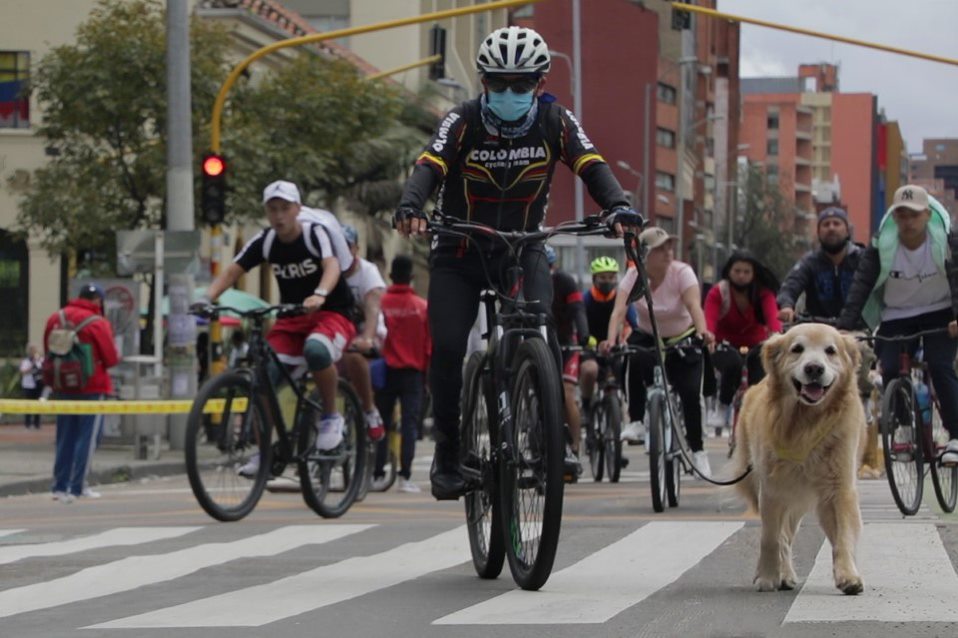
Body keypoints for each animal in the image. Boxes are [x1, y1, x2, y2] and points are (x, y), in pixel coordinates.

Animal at [728, 328, 872, 596]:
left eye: (830, 350)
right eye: (797, 349)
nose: (814, 368)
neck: (805, 423)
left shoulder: (840, 488)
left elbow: (844, 537)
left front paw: (848, 576)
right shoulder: (772, 490)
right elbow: (770, 538)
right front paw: (767, 576)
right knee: (781, 537)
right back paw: (781, 574)